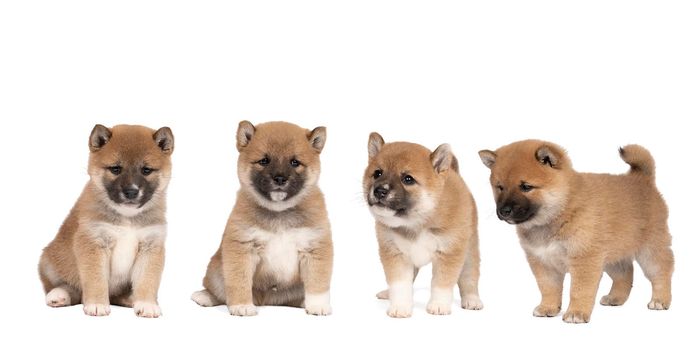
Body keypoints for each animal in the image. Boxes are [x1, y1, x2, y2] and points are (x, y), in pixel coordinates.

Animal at [38, 123, 175, 318]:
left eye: (146, 170)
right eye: (116, 169)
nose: (131, 191)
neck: (127, 216)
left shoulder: (151, 246)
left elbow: (147, 280)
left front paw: (147, 304)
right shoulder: (93, 242)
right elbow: (95, 279)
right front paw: (96, 304)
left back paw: (130, 299)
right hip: (48, 262)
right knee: (69, 288)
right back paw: (59, 295)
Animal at [191, 121, 334, 318]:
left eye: (295, 162)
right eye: (264, 161)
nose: (280, 178)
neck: (279, 212)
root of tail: (267, 300)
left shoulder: (315, 248)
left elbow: (318, 284)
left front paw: (318, 305)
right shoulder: (243, 248)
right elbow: (239, 282)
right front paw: (242, 306)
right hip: (215, 269)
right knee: (219, 290)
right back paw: (205, 296)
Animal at [364, 133, 484, 318]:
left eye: (408, 179)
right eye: (377, 173)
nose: (379, 191)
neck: (416, 222)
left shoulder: (448, 254)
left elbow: (441, 284)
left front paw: (439, 305)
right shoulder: (396, 255)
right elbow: (400, 285)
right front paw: (400, 306)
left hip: (469, 253)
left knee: (469, 278)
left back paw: (472, 299)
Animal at [482, 139, 672, 322]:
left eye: (526, 187)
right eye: (500, 187)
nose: (504, 211)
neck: (560, 211)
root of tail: (642, 178)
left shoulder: (584, 259)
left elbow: (579, 291)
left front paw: (576, 313)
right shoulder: (543, 262)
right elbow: (548, 289)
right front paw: (548, 308)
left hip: (649, 250)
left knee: (662, 270)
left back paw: (660, 300)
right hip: (611, 256)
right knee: (625, 273)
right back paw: (615, 298)